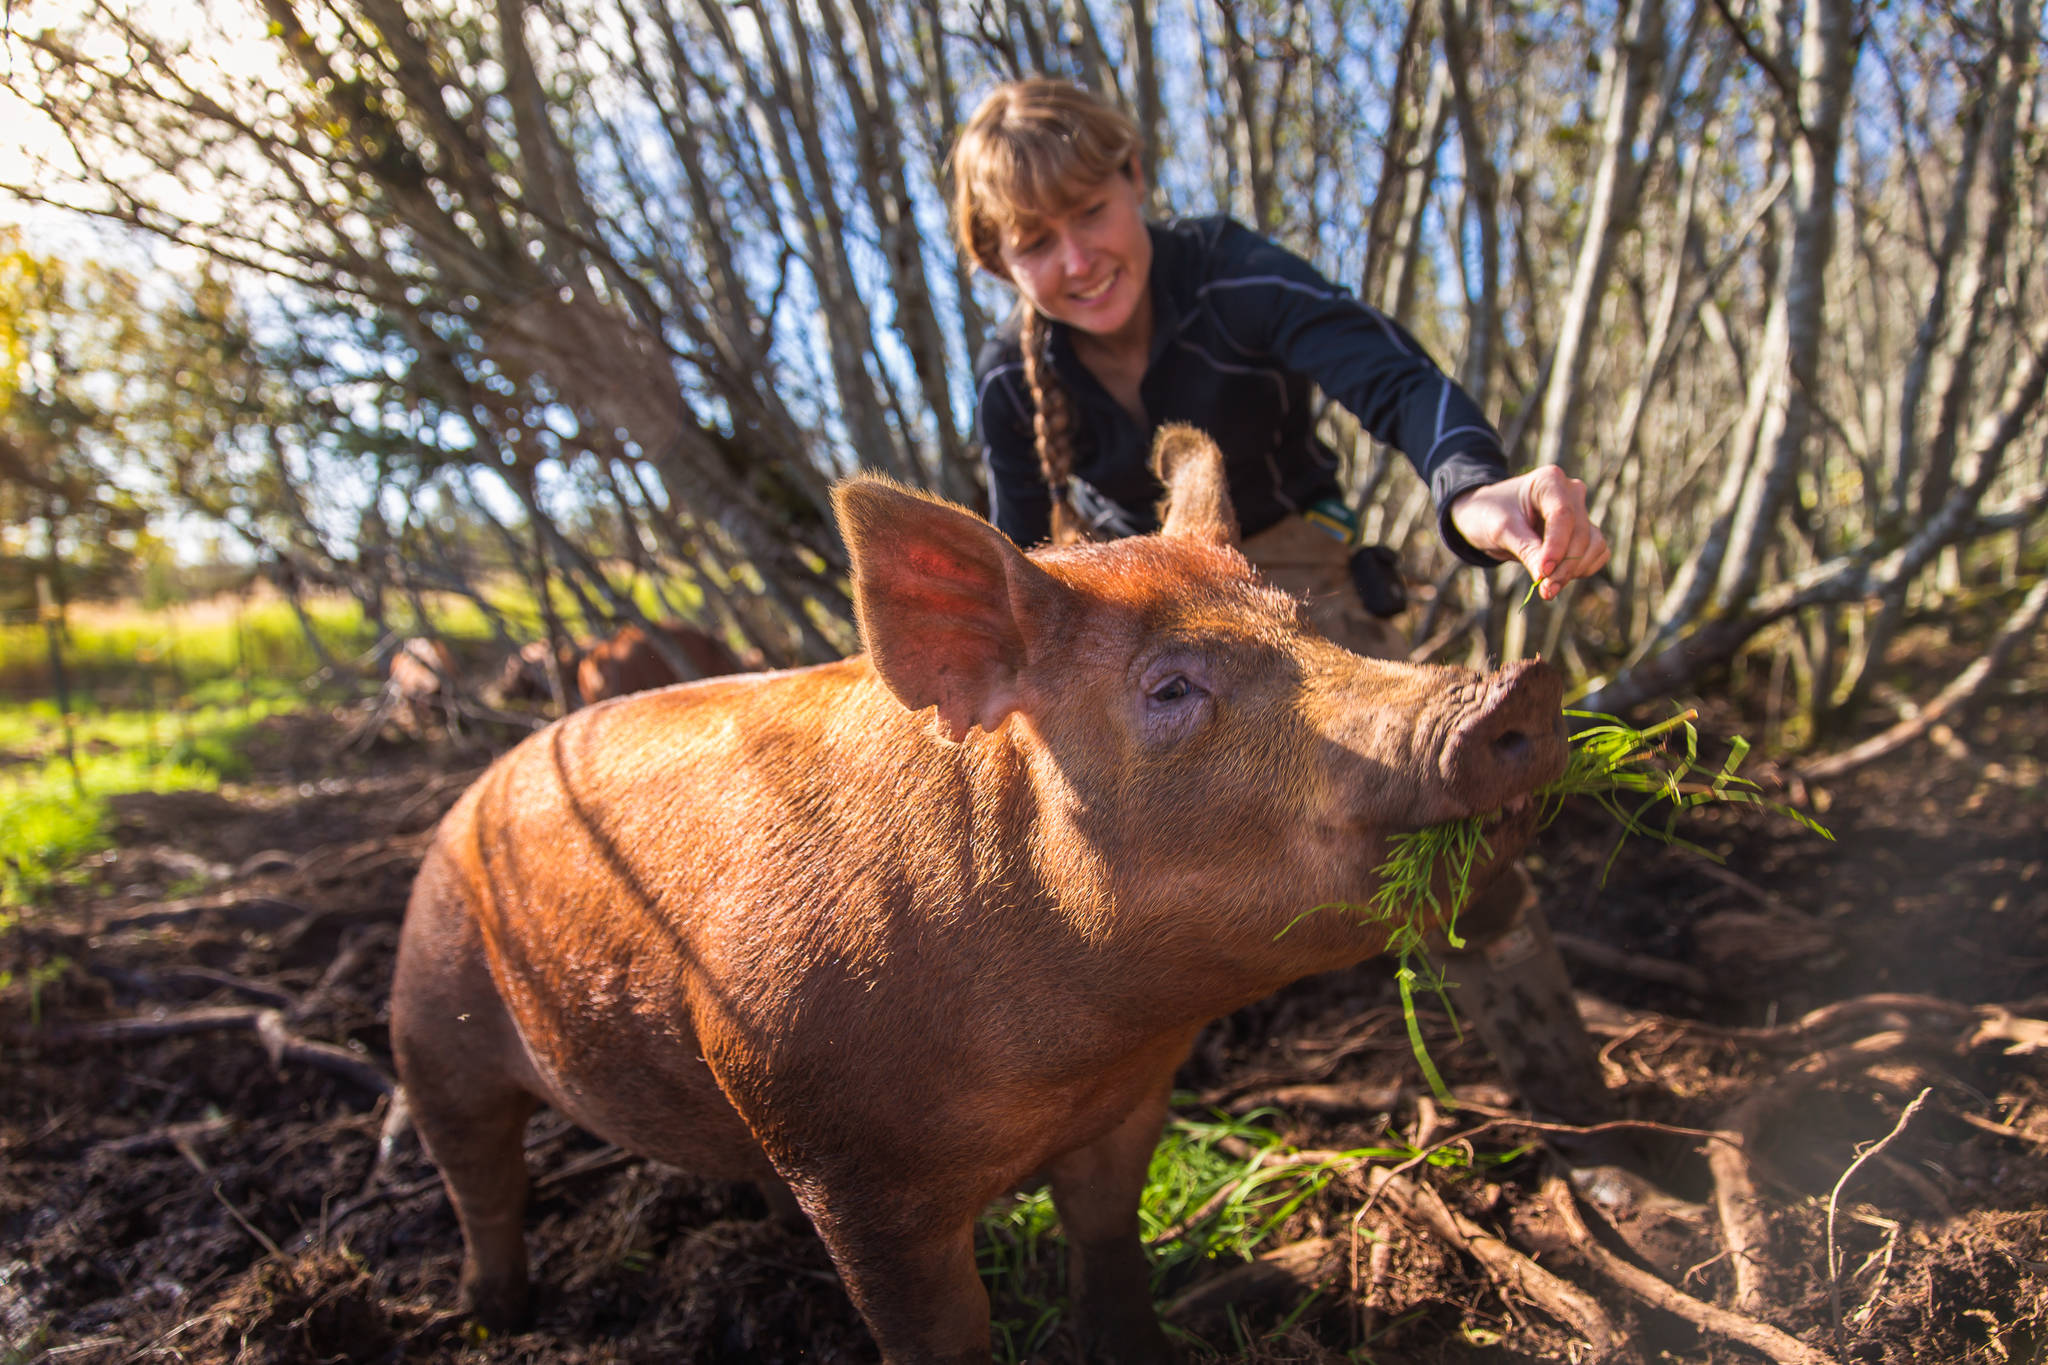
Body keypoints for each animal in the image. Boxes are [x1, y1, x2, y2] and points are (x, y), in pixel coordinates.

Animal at [391, 423, 1556, 1358]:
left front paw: (1133, 1346)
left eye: (1304, 624)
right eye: (1171, 686)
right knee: (478, 1176)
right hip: (431, 1018)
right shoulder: (857, 1177)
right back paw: (490, 1317)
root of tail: (473, 790)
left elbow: (1109, 1243)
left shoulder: (1133, 1101)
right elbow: (939, 1332)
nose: (1515, 686)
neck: (1068, 1053)